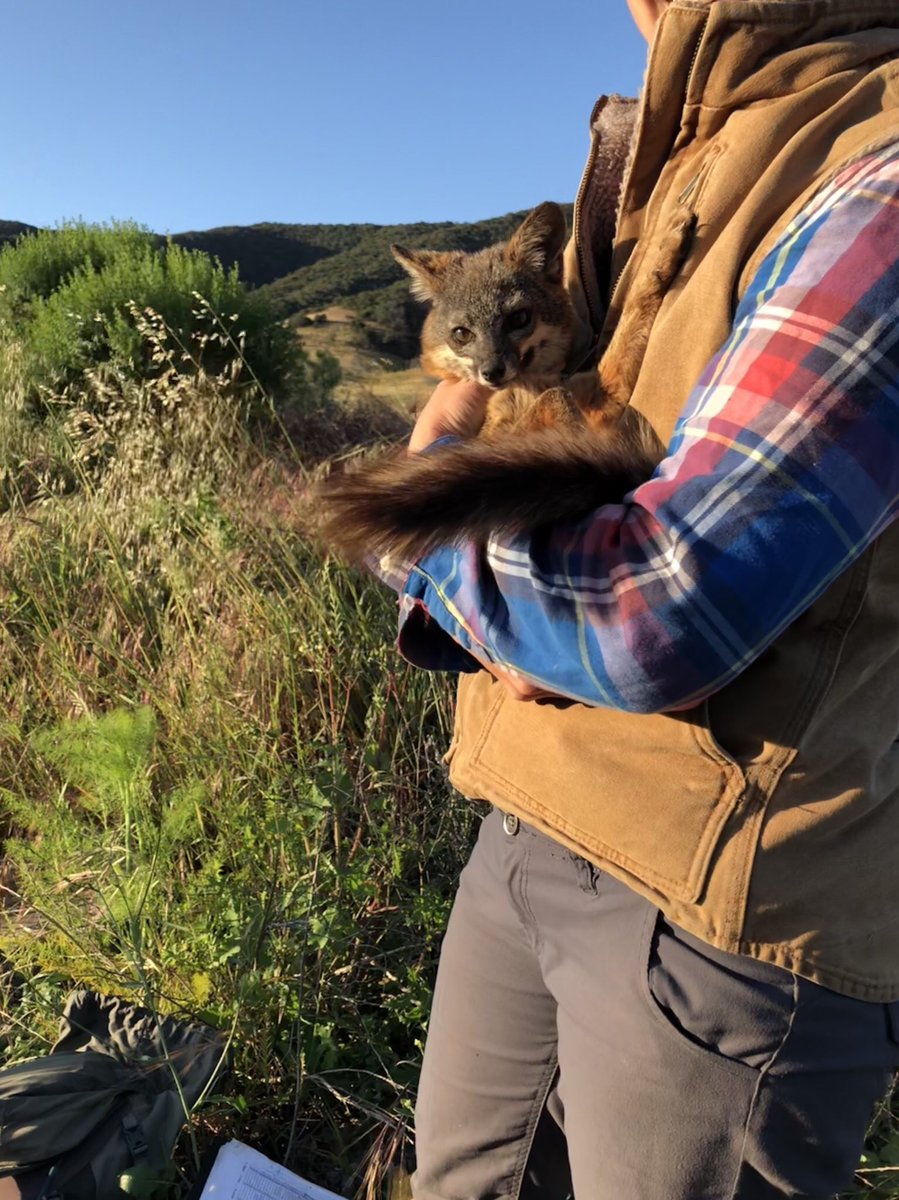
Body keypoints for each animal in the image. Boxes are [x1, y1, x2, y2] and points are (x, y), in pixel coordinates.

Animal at [313, 200, 694, 563]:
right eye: (462, 334)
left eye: (519, 318)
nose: (492, 372)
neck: (527, 387)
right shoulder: (525, 426)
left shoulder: (595, 393)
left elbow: (632, 314)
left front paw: (665, 245)